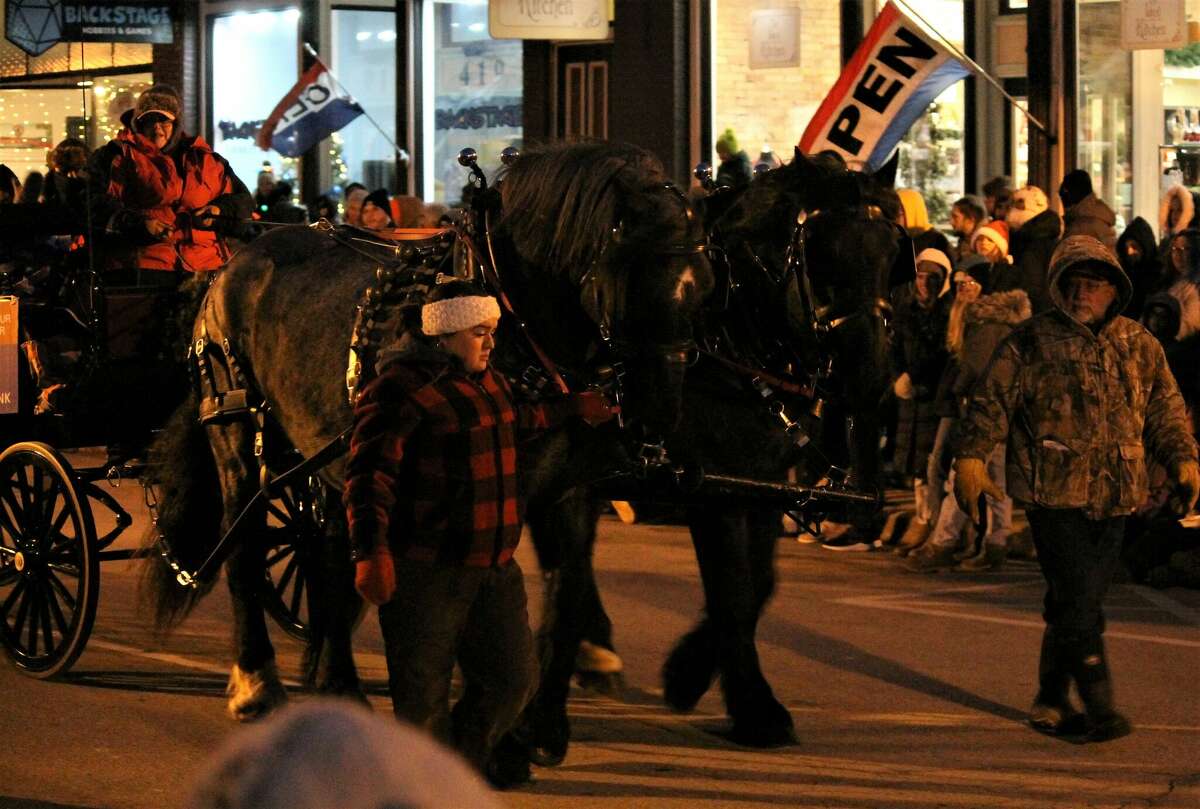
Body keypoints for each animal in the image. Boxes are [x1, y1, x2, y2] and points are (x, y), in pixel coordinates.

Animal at [145, 140, 715, 720]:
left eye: (704, 289)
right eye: (626, 280)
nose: (658, 414)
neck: (512, 319)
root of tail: (229, 267)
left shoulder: (565, 491)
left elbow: (566, 593)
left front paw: (550, 706)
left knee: (330, 560)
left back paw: (337, 681)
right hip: (237, 431)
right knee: (244, 546)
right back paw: (257, 680)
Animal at [520, 146, 902, 758]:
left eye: (892, 251)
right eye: (819, 251)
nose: (870, 375)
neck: (729, 334)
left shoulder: (762, 481)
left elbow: (758, 585)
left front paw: (707, 675)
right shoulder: (711, 486)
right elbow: (734, 589)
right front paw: (734, 697)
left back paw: (595, 652)